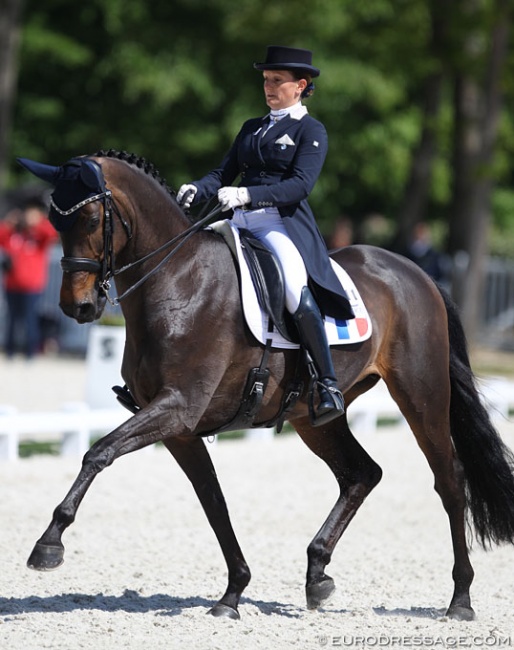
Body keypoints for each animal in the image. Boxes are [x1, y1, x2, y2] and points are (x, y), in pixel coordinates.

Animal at [17, 149, 512, 620]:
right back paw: (317, 574)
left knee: (449, 482)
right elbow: (213, 501)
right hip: (314, 416)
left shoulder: (176, 407)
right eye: (54, 222)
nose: (78, 307)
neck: (178, 280)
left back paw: (460, 599)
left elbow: (98, 452)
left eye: (89, 219)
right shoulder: (180, 428)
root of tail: (416, 273)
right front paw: (233, 593)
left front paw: (49, 544)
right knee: (361, 473)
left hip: (421, 395)